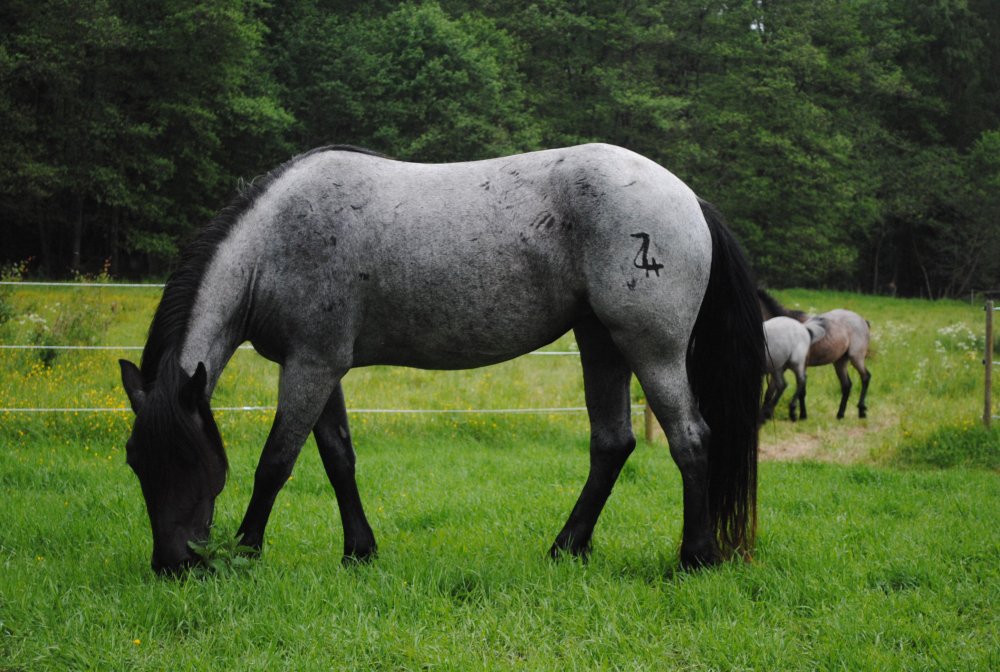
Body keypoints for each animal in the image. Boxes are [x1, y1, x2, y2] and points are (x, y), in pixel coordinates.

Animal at [117, 144, 760, 576]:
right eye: (135, 462)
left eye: (187, 459)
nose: (172, 565)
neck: (272, 246)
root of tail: (688, 197)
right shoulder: (321, 367)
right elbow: (338, 457)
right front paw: (359, 551)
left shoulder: (309, 367)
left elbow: (276, 462)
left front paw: (248, 551)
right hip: (600, 342)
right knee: (612, 445)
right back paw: (565, 548)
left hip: (651, 349)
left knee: (690, 439)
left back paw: (694, 557)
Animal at [756, 290, 868, 420]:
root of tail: (863, 320)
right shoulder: (779, 368)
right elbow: (771, 392)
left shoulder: (798, 366)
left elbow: (798, 390)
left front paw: (799, 414)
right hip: (840, 362)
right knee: (846, 385)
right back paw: (840, 414)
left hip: (856, 357)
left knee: (865, 377)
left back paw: (862, 411)